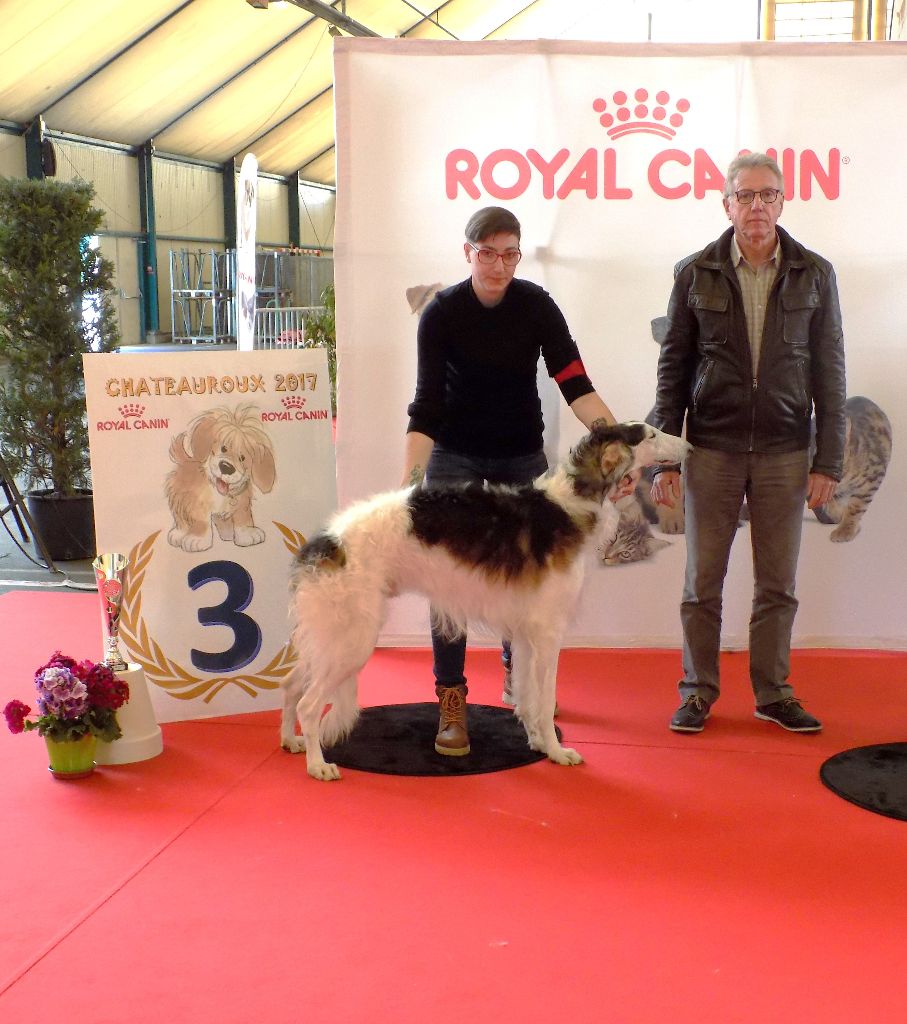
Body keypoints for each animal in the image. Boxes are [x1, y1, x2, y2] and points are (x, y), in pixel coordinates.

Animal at [280, 419, 692, 778]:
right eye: (652, 435)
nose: (688, 448)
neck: (571, 503)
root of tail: (325, 543)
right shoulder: (548, 633)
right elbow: (545, 701)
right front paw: (557, 752)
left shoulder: (525, 636)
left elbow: (526, 697)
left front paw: (538, 742)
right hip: (353, 639)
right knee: (308, 704)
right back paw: (318, 765)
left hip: (330, 640)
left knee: (290, 687)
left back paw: (290, 741)